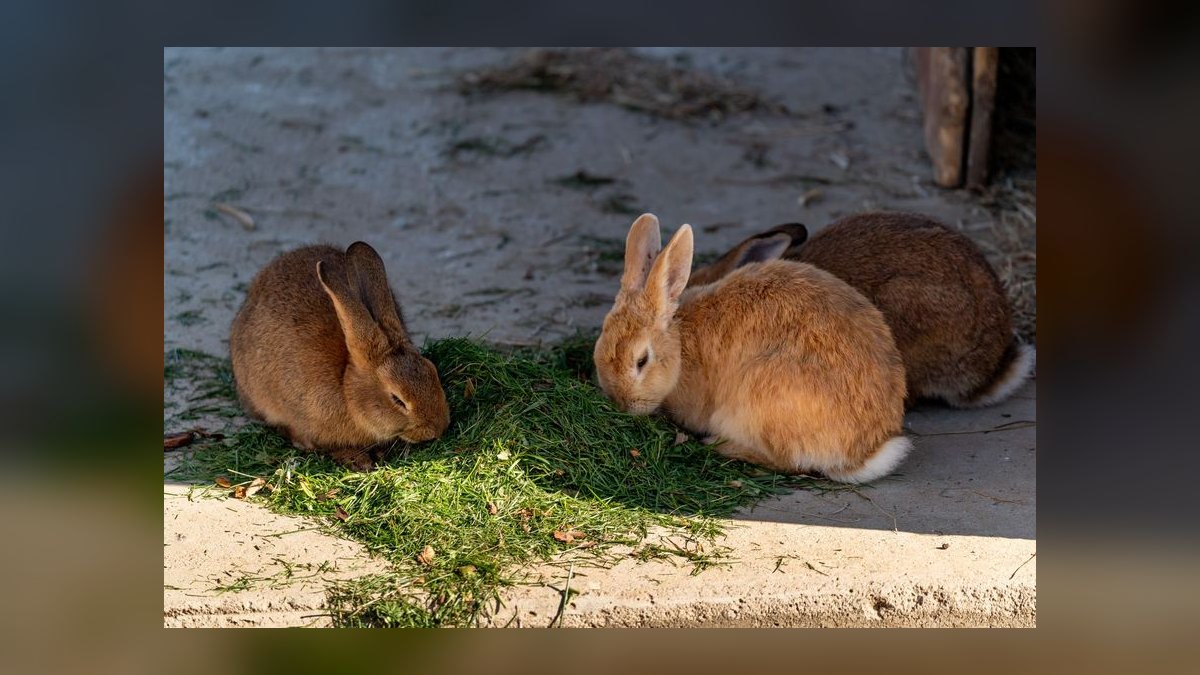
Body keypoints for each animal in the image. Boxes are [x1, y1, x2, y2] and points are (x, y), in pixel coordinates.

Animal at [593, 213, 910, 483]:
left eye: (642, 361)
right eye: (599, 348)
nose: (623, 404)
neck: (680, 346)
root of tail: (862, 454)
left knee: (789, 463)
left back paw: (720, 445)